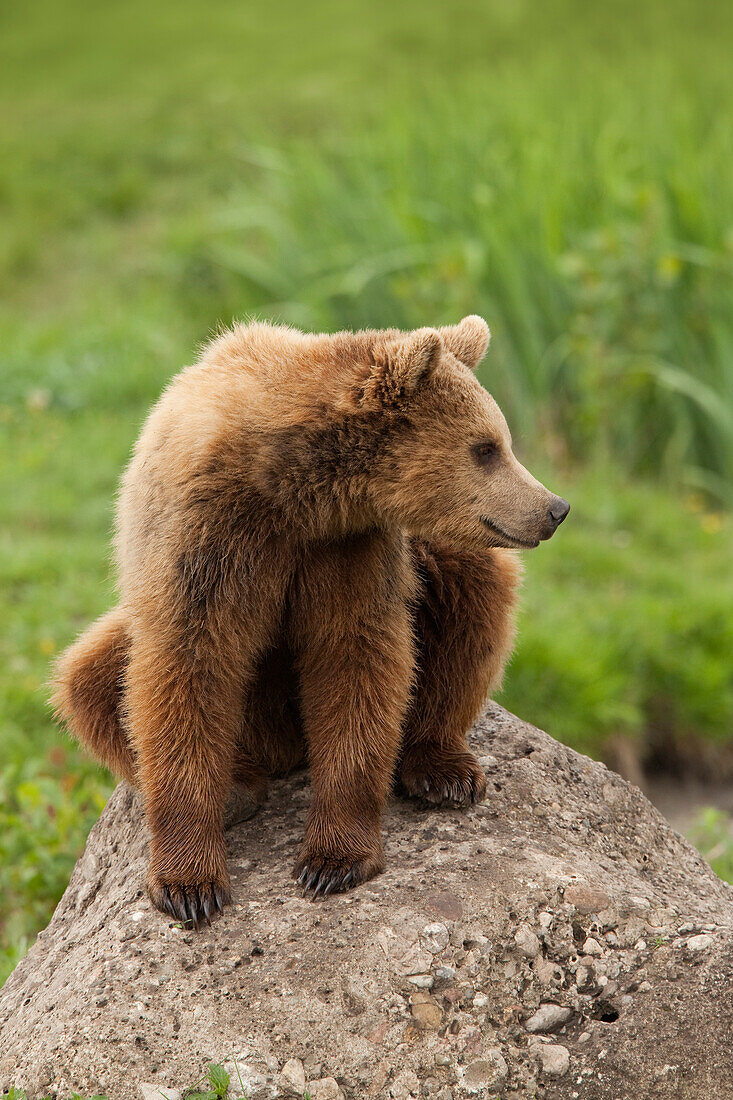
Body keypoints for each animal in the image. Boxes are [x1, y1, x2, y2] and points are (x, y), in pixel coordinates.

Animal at [52, 316, 563, 928]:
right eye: (486, 448)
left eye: (501, 441)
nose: (554, 508)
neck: (292, 489)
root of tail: (283, 749)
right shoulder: (204, 539)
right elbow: (185, 670)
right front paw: (189, 884)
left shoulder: (346, 548)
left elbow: (356, 663)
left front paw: (331, 860)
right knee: (89, 679)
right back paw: (237, 785)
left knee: (473, 583)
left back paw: (442, 768)